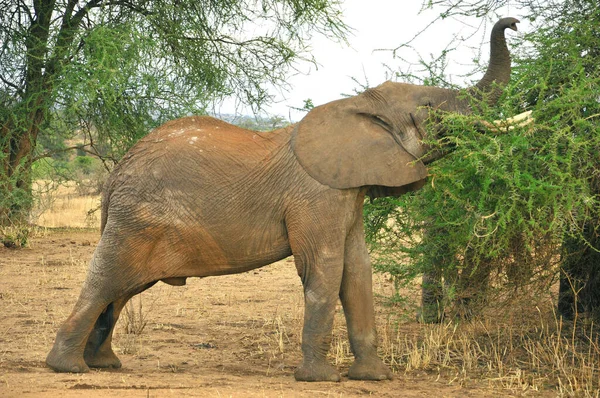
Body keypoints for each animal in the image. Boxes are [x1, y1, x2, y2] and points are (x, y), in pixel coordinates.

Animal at [47, 16, 516, 382]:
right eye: (431, 108)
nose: (512, 23)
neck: (356, 108)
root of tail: (116, 172)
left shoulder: (346, 192)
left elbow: (357, 269)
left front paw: (375, 378)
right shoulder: (317, 195)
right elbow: (325, 266)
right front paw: (321, 379)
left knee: (122, 289)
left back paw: (105, 365)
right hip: (137, 219)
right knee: (107, 281)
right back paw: (67, 368)